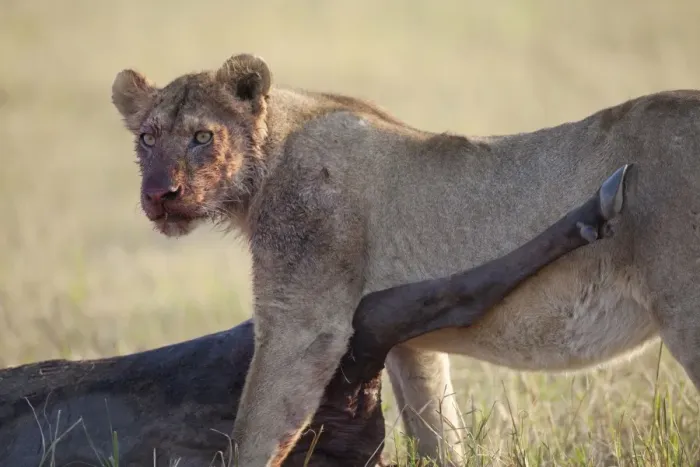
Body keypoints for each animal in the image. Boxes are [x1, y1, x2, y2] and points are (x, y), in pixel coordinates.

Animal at [111, 53, 699, 466]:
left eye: (202, 136)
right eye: (147, 138)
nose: (159, 194)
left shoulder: (305, 323)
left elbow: (254, 433)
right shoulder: (411, 348)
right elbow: (439, 433)